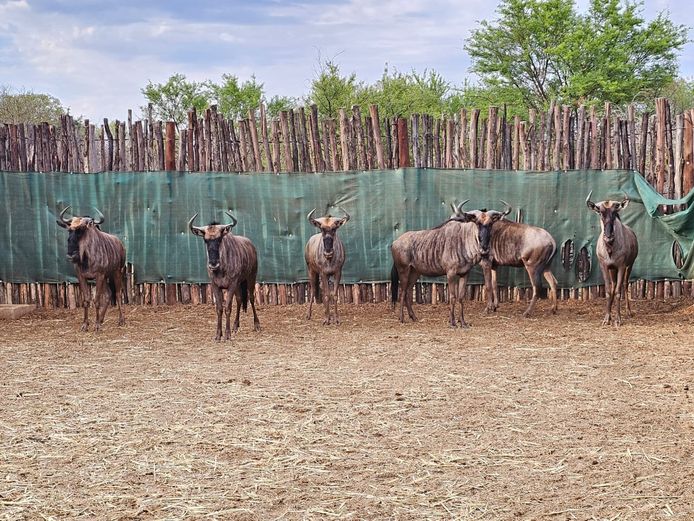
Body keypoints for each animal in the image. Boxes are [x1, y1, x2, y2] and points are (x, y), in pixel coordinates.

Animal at [189, 211, 260, 341]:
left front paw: (227, 334)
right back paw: (235, 326)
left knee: (251, 298)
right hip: (239, 284)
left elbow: (228, 308)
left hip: (251, 277)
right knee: (239, 299)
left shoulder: (231, 285)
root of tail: (251, 245)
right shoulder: (215, 286)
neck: (221, 269)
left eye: (219, 239)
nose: (213, 264)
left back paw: (257, 325)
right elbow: (219, 308)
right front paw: (218, 334)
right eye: (205, 240)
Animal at [586, 192, 639, 326]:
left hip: (629, 266)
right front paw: (607, 318)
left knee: (624, 284)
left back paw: (629, 311)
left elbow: (619, 291)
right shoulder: (605, 267)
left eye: (615, 213)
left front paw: (618, 319)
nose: (608, 236)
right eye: (600, 212)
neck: (610, 248)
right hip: (612, 269)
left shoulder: (621, 266)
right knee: (614, 285)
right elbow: (609, 291)